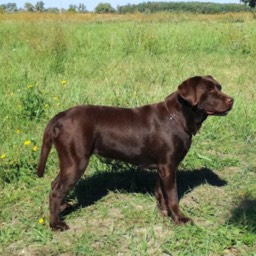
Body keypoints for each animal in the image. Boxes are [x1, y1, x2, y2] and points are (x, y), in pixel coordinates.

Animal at [36, 75, 234, 230]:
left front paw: (164, 212)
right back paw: (56, 224)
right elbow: (173, 196)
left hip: (69, 161)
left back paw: (62, 207)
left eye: (220, 87)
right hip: (76, 161)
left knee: (55, 184)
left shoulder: (162, 167)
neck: (177, 118)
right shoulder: (169, 166)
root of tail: (60, 116)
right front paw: (179, 219)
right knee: (56, 190)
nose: (232, 100)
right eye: (209, 91)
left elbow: (160, 192)